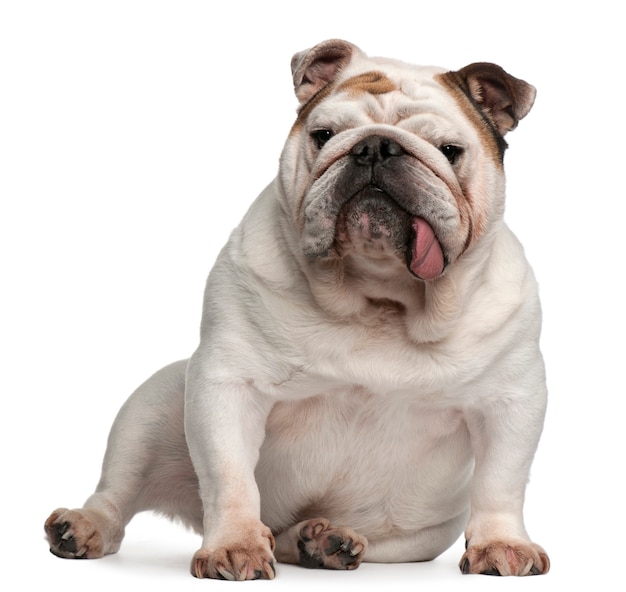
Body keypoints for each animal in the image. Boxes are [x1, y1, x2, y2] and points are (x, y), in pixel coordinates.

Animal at [46, 40, 548, 580]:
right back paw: (82, 527)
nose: (375, 147)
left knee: (295, 536)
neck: (379, 298)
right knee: (118, 494)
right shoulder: (227, 384)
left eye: (451, 152)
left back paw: (321, 542)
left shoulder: (511, 402)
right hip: (151, 410)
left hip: (406, 541)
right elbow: (228, 476)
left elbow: (500, 482)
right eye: (323, 135)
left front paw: (501, 543)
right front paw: (235, 544)